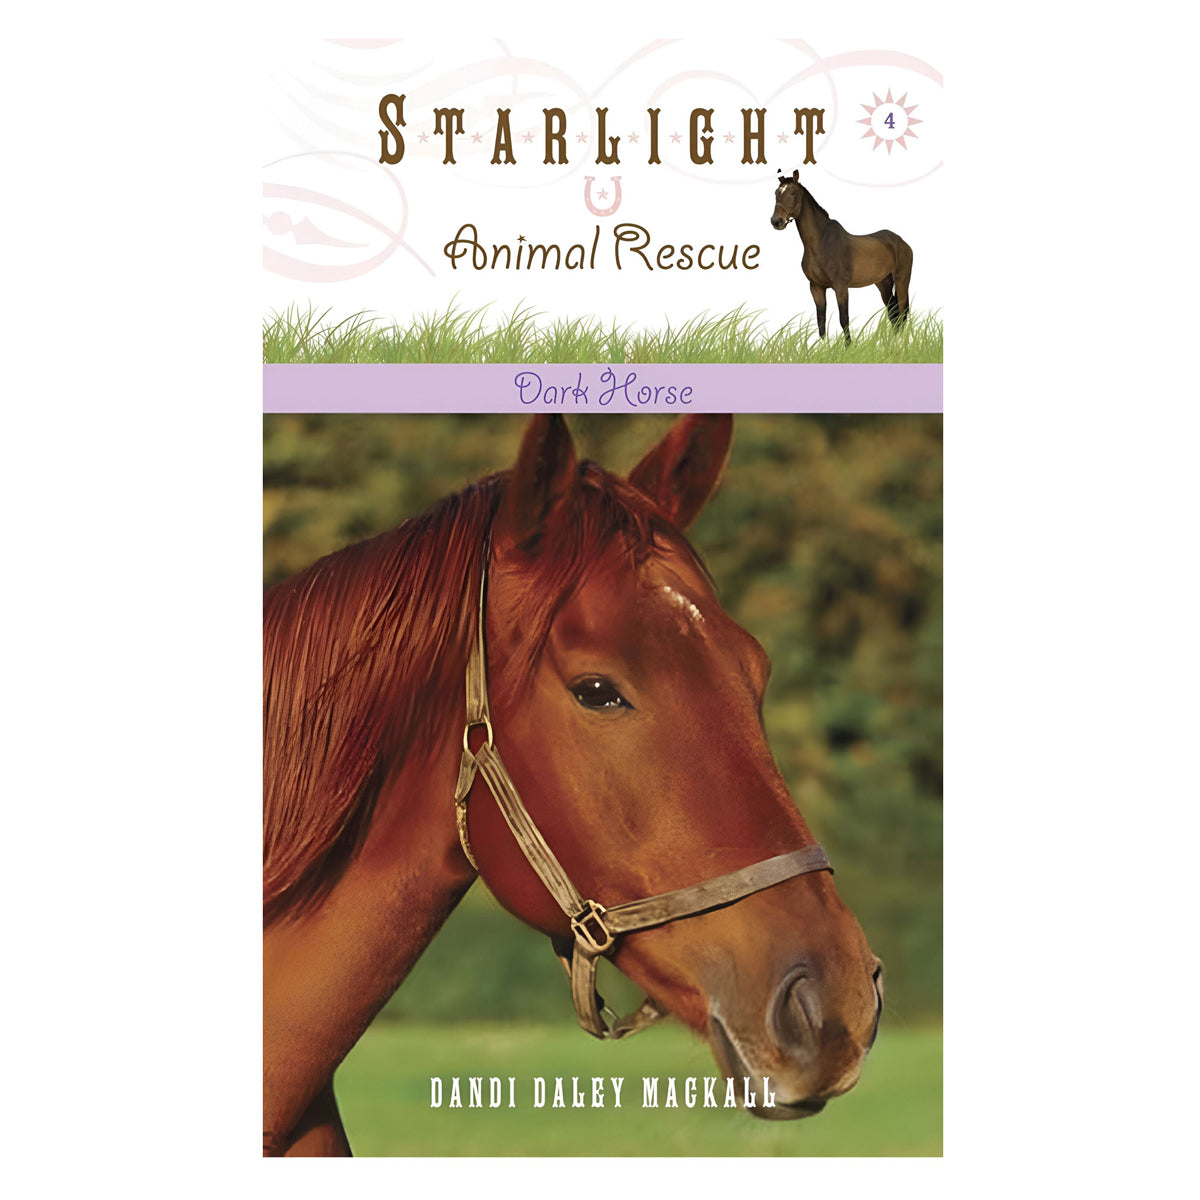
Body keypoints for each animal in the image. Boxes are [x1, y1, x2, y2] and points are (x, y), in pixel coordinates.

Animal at [770, 170, 914, 343]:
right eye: (776, 193)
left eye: (793, 192)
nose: (776, 221)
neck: (820, 242)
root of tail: (901, 241)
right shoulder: (816, 287)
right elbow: (821, 321)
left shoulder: (841, 287)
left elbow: (844, 319)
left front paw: (848, 347)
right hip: (883, 283)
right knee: (893, 313)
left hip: (902, 280)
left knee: (902, 311)